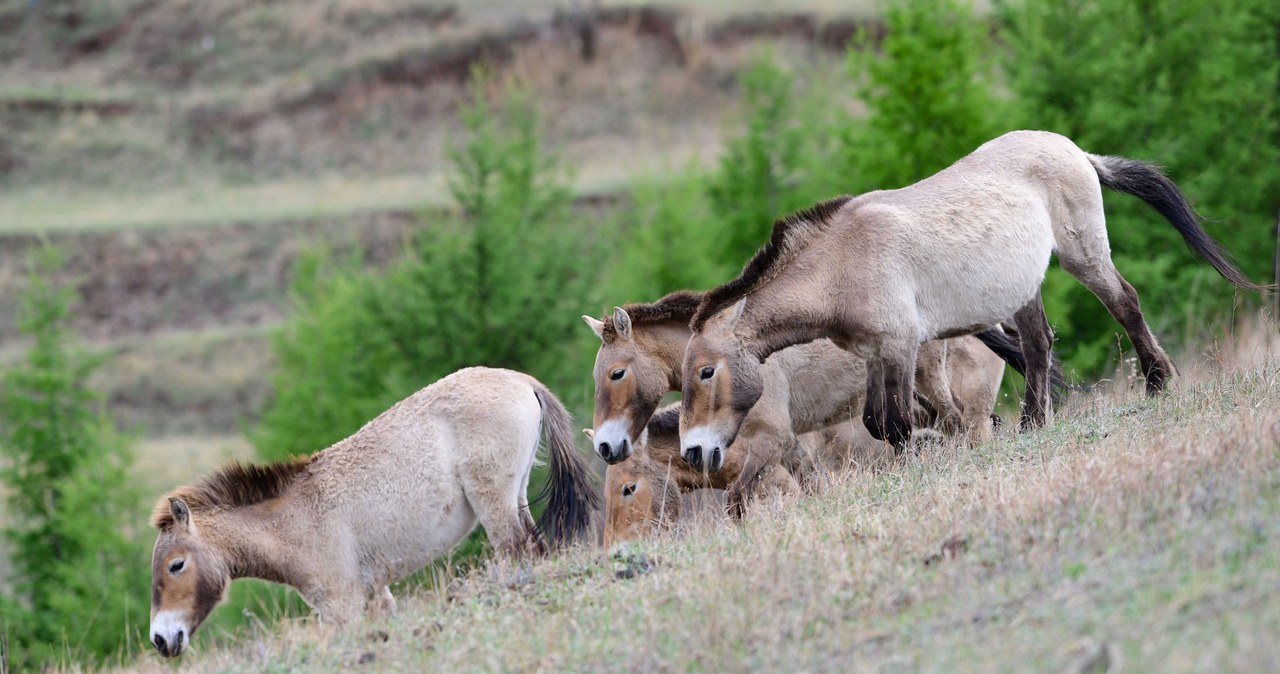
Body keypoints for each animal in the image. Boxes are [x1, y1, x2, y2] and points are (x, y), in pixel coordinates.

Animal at [147, 368, 596, 659]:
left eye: (176, 565)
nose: (161, 640)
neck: (295, 520)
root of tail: (521, 380)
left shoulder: (341, 608)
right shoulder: (376, 596)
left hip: (495, 504)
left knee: (516, 552)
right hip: (514, 497)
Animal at [675, 131, 1264, 460]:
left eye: (705, 372)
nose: (695, 451)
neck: (841, 262)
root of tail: (1075, 150)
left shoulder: (901, 346)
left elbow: (895, 423)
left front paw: (924, 461)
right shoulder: (877, 354)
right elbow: (876, 422)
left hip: (1083, 255)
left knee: (1125, 304)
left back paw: (1158, 383)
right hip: (1022, 289)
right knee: (1039, 344)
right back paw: (1032, 425)